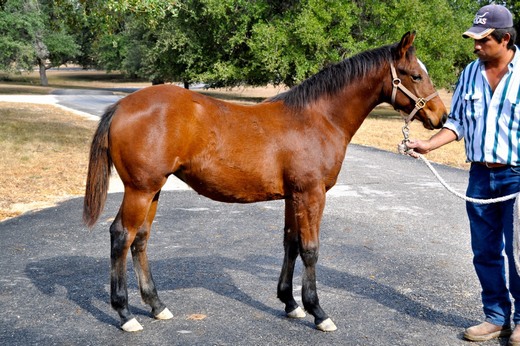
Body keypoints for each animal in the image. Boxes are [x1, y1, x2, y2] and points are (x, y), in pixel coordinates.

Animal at [84, 32, 446, 332]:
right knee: (122, 236)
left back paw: (157, 306)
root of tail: (121, 106)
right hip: (140, 190)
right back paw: (125, 314)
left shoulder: (293, 196)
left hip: (153, 190)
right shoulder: (311, 194)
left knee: (140, 240)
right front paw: (318, 312)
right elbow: (310, 250)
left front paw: (290, 303)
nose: (440, 116)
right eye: (416, 75)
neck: (317, 118)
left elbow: (291, 244)